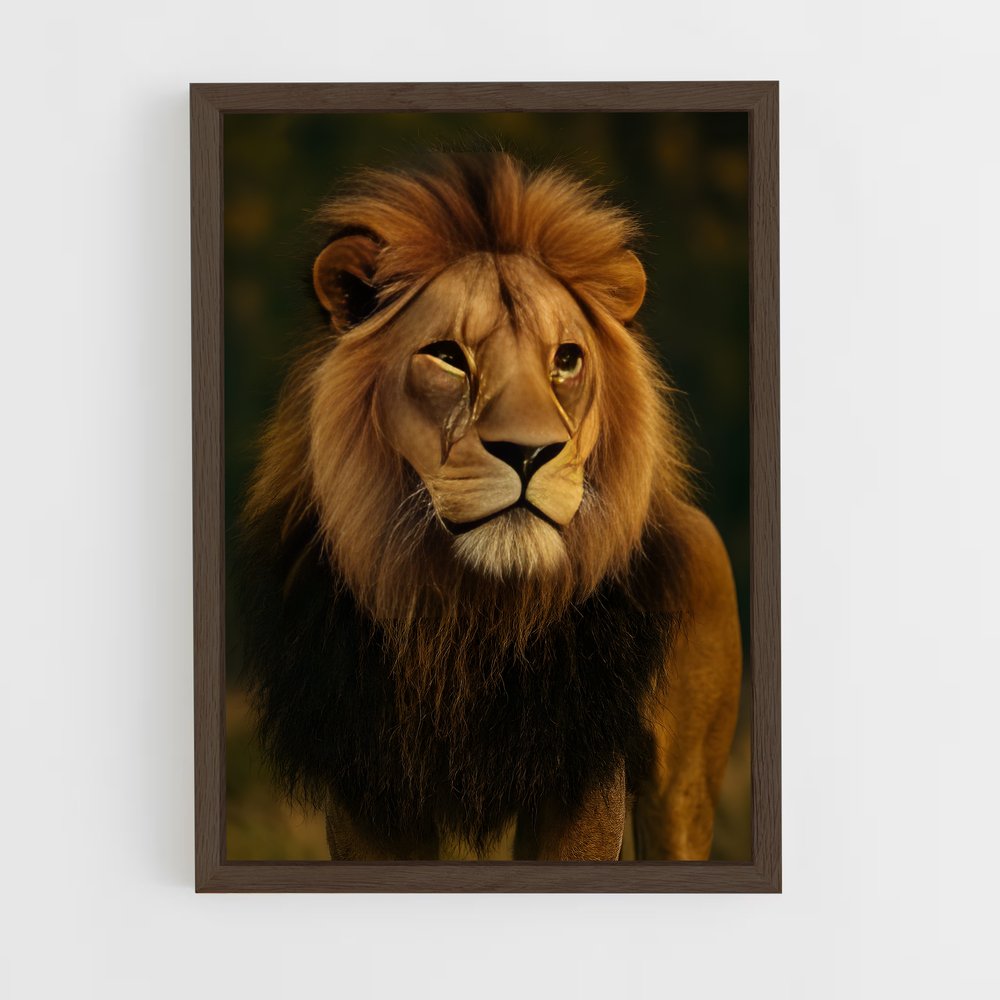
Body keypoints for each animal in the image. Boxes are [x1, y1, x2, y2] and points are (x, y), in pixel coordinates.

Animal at [237, 151, 742, 861]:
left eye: (567, 360)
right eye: (449, 357)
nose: (529, 453)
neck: (472, 615)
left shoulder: (582, 774)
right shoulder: (367, 781)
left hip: (681, 795)